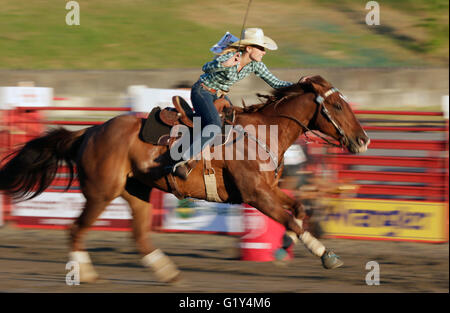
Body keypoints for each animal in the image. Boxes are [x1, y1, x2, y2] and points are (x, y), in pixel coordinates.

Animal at [0, 76, 370, 282]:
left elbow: (300, 210)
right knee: (76, 229)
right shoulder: (256, 194)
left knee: (139, 237)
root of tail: (90, 131)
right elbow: (291, 217)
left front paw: (290, 246)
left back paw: (168, 273)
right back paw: (86, 274)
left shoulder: (269, 190)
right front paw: (322, 254)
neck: (260, 133)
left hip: (137, 192)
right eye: (337, 106)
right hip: (102, 193)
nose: (364, 139)